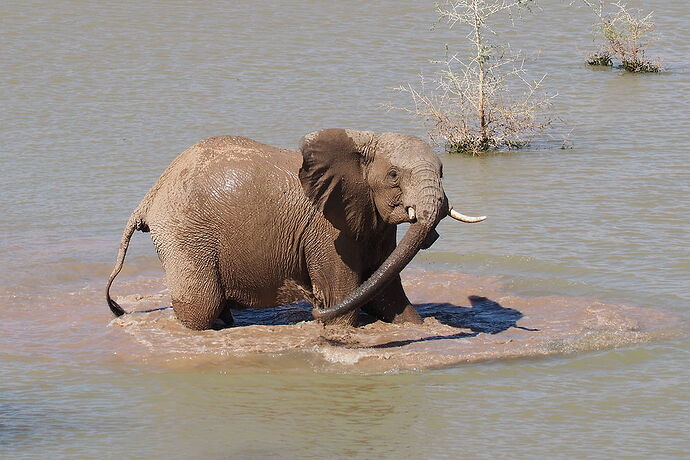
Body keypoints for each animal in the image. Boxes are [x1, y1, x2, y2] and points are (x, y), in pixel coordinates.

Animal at [107, 128, 484, 330]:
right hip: (184, 231)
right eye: (393, 175)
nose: (309, 298)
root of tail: (152, 193)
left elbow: (385, 290)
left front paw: (418, 326)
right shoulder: (327, 231)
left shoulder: (371, 221)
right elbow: (345, 296)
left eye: (442, 171)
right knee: (202, 305)